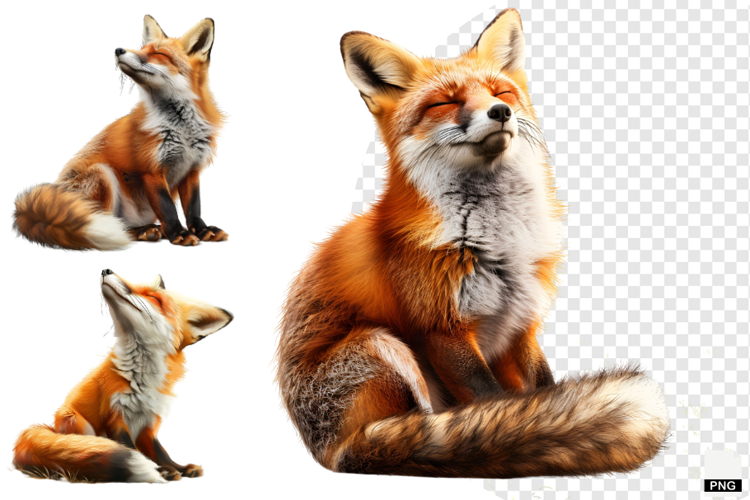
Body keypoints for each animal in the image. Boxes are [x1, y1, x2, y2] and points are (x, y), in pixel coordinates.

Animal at [13, 15, 228, 250]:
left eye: (159, 54)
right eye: (142, 49)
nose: (118, 50)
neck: (182, 129)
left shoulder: (192, 169)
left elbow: (194, 207)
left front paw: (202, 230)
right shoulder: (151, 170)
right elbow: (168, 207)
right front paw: (179, 233)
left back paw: (150, 229)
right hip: (102, 175)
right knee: (110, 223)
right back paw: (140, 231)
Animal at [13, 269, 233, 483]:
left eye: (153, 297)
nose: (106, 270)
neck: (143, 377)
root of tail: (52, 429)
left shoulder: (149, 423)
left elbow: (160, 452)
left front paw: (178, 467)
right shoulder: (115, 415)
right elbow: (132, 449)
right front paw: (162, 471)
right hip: (78, 422)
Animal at [277, 9, 670, 478]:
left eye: (501, 91)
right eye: (444, 103)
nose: (500, 111)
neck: (501, 239)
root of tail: (330, 452)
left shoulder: (521, 322)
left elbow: (544, 389)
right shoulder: (442, 327)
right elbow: (490, 403)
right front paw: (516, 432)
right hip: (378, 345)